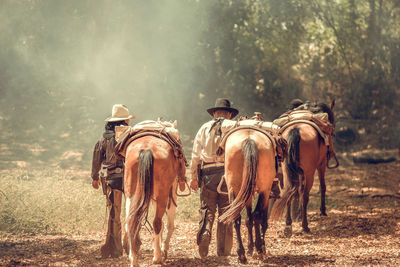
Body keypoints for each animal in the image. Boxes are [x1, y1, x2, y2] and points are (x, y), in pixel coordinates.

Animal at [122, 136, 187, 267]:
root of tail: (147, 149)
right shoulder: (171, 193)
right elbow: (168, 224)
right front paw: (164, 249)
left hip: (130, 194)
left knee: (130, 222)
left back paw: (133, 259)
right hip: (163, 195)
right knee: (157, 223)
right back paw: (157, 257)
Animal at [219, 127, 278, 264]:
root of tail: (249, 139)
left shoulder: (248, 194)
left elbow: (248, 219)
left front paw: (251, 247)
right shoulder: (266, 192)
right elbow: (261, 219)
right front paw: (260, 246)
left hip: (234, 188)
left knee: (236, 218)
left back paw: (241, 254)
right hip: (264, 189)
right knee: (257, 214)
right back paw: (258, 248)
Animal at [270, 102, 336, 237]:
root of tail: (296, 130)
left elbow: (297, 191)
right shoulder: (321, 165)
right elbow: (322, 187)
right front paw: (323, 211)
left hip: (287, 172)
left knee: (289, 192)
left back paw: (288, 225)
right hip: (309, 172)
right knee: (305, 195)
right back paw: (305, 226)